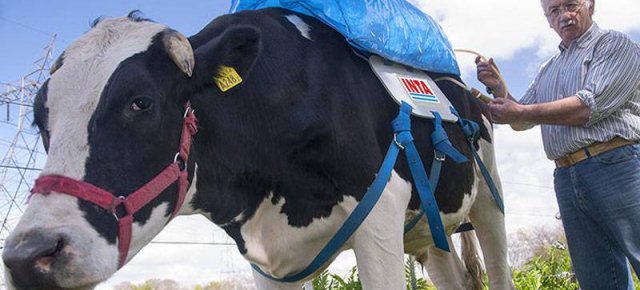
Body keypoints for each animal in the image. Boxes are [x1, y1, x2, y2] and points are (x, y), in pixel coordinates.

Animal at [0, 9, 512, 290]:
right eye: (39, 120)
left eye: (141, 102)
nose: (29, 255)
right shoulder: (265, 260)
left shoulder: (380, 218)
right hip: (428, 233)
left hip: (489, 203)